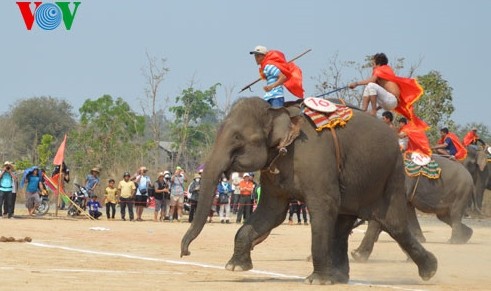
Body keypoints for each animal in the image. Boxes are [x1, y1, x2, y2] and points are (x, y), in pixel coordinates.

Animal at [181, 97, 438, 286]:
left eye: (238, 139)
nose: (185, 253)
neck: (279, 112)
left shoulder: (316, 158)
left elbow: (322, 207)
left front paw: (316, 281)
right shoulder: (274, 169)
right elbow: (273, 212)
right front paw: (235, 267)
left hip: (390, 175)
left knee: (393, 223)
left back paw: (430, 270)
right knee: (344, 224)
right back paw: (340, 278)